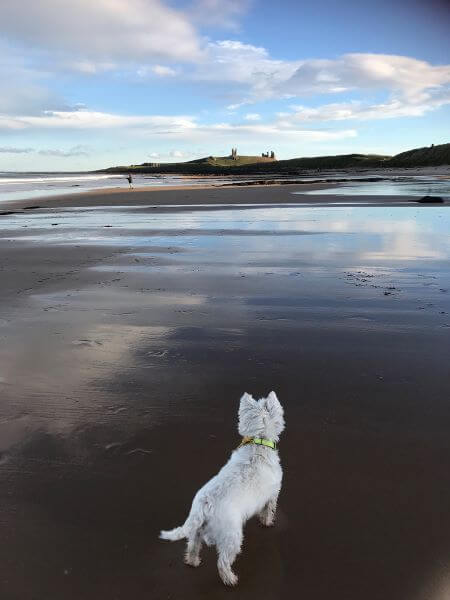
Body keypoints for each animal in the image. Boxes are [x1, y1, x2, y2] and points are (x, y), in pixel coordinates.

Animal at [159, 392, 284, 584]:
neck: (258, 443)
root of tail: (205, 504)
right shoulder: (273, 493)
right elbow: (269, 510)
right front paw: (267, 521)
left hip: (198, 530)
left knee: (193, 545)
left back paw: (193, 561)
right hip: (232, 535)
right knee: (223, 561)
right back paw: (231, 579)